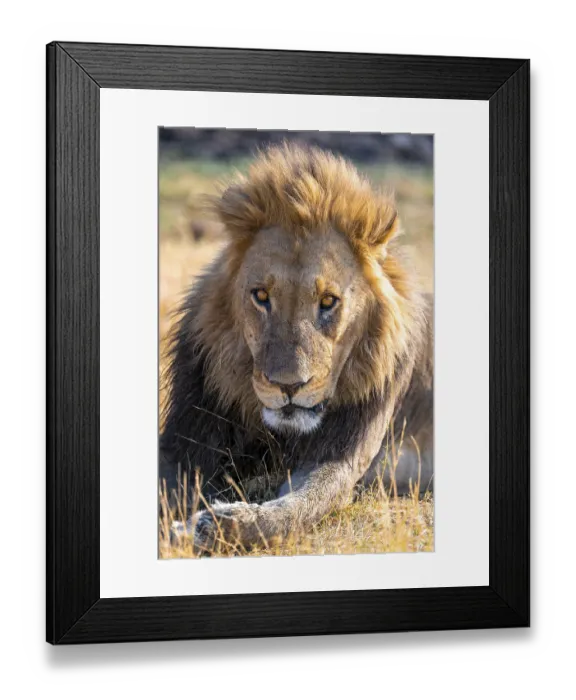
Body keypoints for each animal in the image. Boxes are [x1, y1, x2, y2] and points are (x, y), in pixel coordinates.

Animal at [160, 144, 433, 551]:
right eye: (261, 296)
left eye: (328, 301)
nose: (288, 386)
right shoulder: (185, 440)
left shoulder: (340, 458)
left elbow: (298, 507)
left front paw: (214, 524)